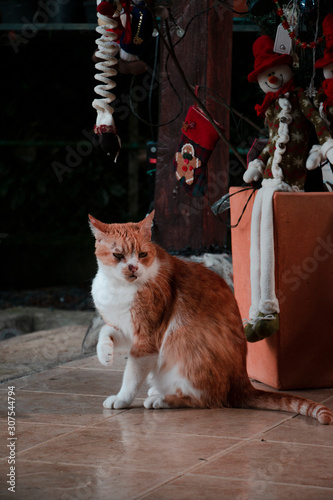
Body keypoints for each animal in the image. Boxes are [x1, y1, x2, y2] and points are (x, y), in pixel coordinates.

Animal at [88, 211, 332, 426]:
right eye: (118, 256)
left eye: (142, 255)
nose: (132, 267)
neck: (117, 288)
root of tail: (243, 383)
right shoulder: (127, 330)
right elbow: (106, 331)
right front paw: (105, 353)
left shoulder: (147, 339)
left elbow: (131, 375)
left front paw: (121, 398)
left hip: (186, 345)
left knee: (206, 400)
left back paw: (161, 398)